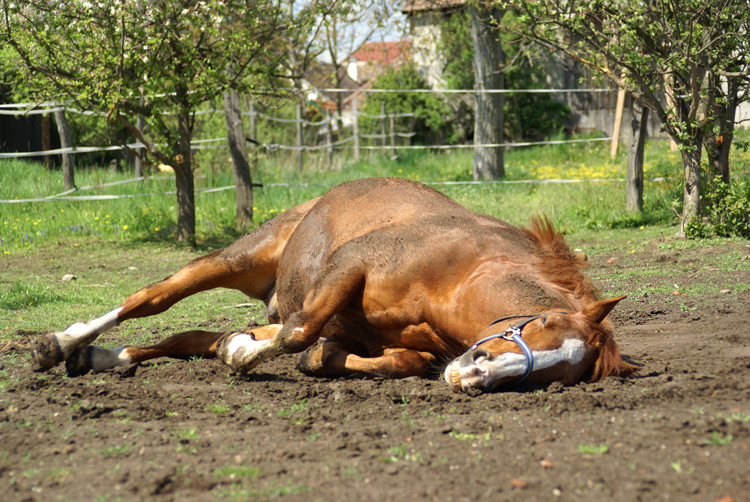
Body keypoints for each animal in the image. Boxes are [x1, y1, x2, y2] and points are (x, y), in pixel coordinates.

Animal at [32, 178, 636, 394]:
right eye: (539, 322)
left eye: (561, 374)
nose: (477, 373)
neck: (465, 272)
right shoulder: (352, 265)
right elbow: (299, 336)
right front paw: (251, 358)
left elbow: (399, 360)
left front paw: (315, 360)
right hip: (237, 260)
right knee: (151, 299)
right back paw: (61, 344)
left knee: (194, 338)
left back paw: (106, 358)